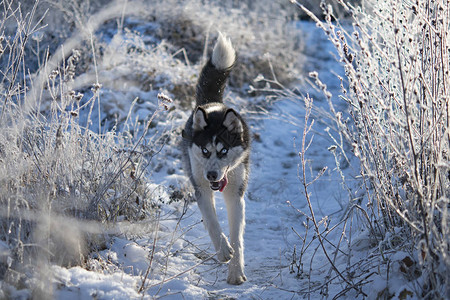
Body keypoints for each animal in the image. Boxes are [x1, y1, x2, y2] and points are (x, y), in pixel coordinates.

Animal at [181, 34, 250, 284]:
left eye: (223, 151)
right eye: (205, 151)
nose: (211, 174)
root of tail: (213, 104)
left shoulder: (236, 194)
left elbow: (237, 237)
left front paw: (236, 272)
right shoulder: (200, 187)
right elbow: (211, 222)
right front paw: (223, 251)